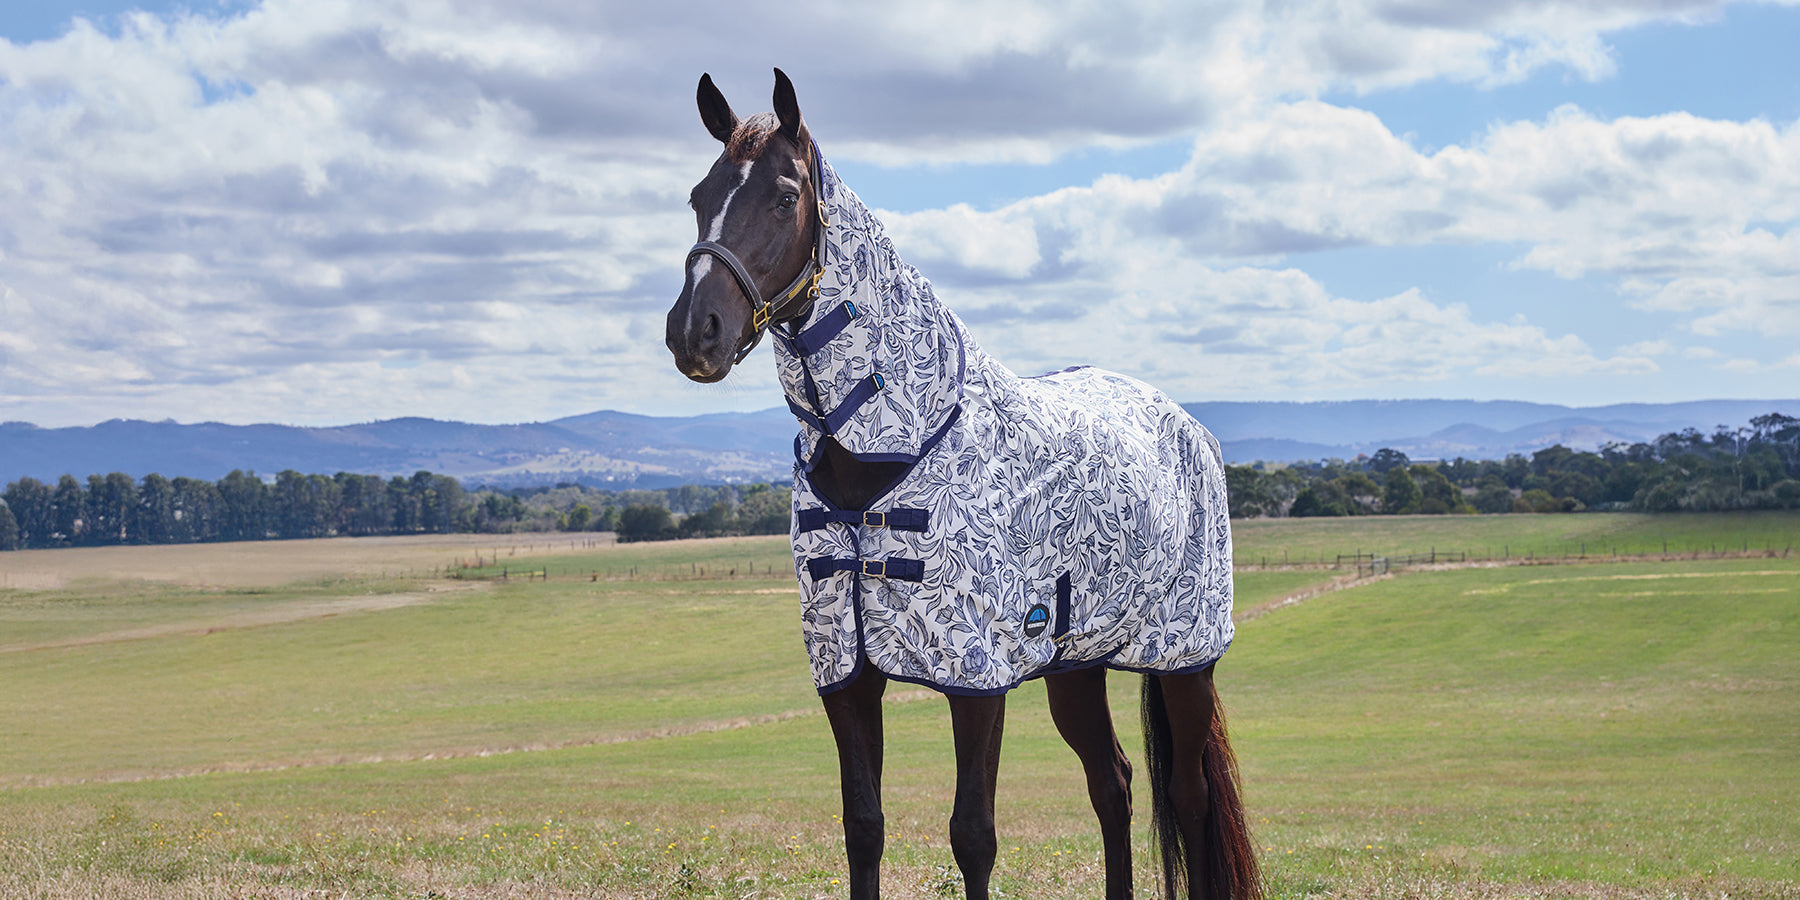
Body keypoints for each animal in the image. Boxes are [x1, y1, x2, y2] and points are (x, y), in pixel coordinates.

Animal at [664, 69, 1260, 900]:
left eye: (784, 197)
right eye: (699, 196)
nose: (695, 333)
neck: (890, 448)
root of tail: (1188, 425)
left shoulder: (978, 676)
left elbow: (972, 834)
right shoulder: (846, 673)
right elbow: (863, 826)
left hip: (1185, 658)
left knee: (1191, 795)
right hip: (1077, 666)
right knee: (1112, 783)